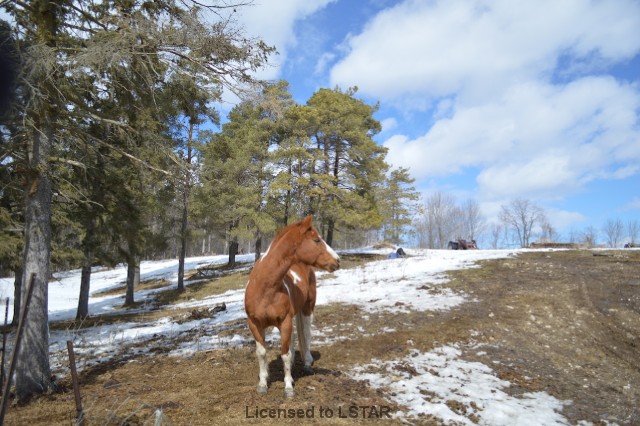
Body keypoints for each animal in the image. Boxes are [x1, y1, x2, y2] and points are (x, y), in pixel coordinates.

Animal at [244, 216, 340, 400]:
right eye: (317, 240)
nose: (337, 260)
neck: (264, 287)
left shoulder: (285, 322)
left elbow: (285, 355)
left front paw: (288, 387)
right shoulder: (255, 324)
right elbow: (262, 353)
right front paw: (262, 383)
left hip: (307, 309)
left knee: (306, 335)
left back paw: (307, 364)